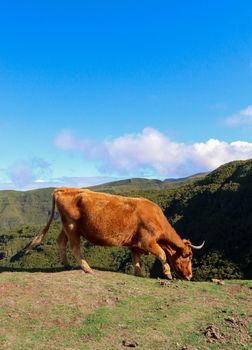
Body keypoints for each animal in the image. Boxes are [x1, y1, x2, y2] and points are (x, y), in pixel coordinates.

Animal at [26, 187, 204, 280]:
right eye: (188, 256)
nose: (189, 276)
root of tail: (64, 189)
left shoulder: (135, 245)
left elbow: (136, 261)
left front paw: (139, 275)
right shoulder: (147, 242)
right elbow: (162, 255)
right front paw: (167, 274)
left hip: (66, 227)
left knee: (61, 242)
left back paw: (66, 264)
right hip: (72, 227)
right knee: (75, 247)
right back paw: (87, 268)